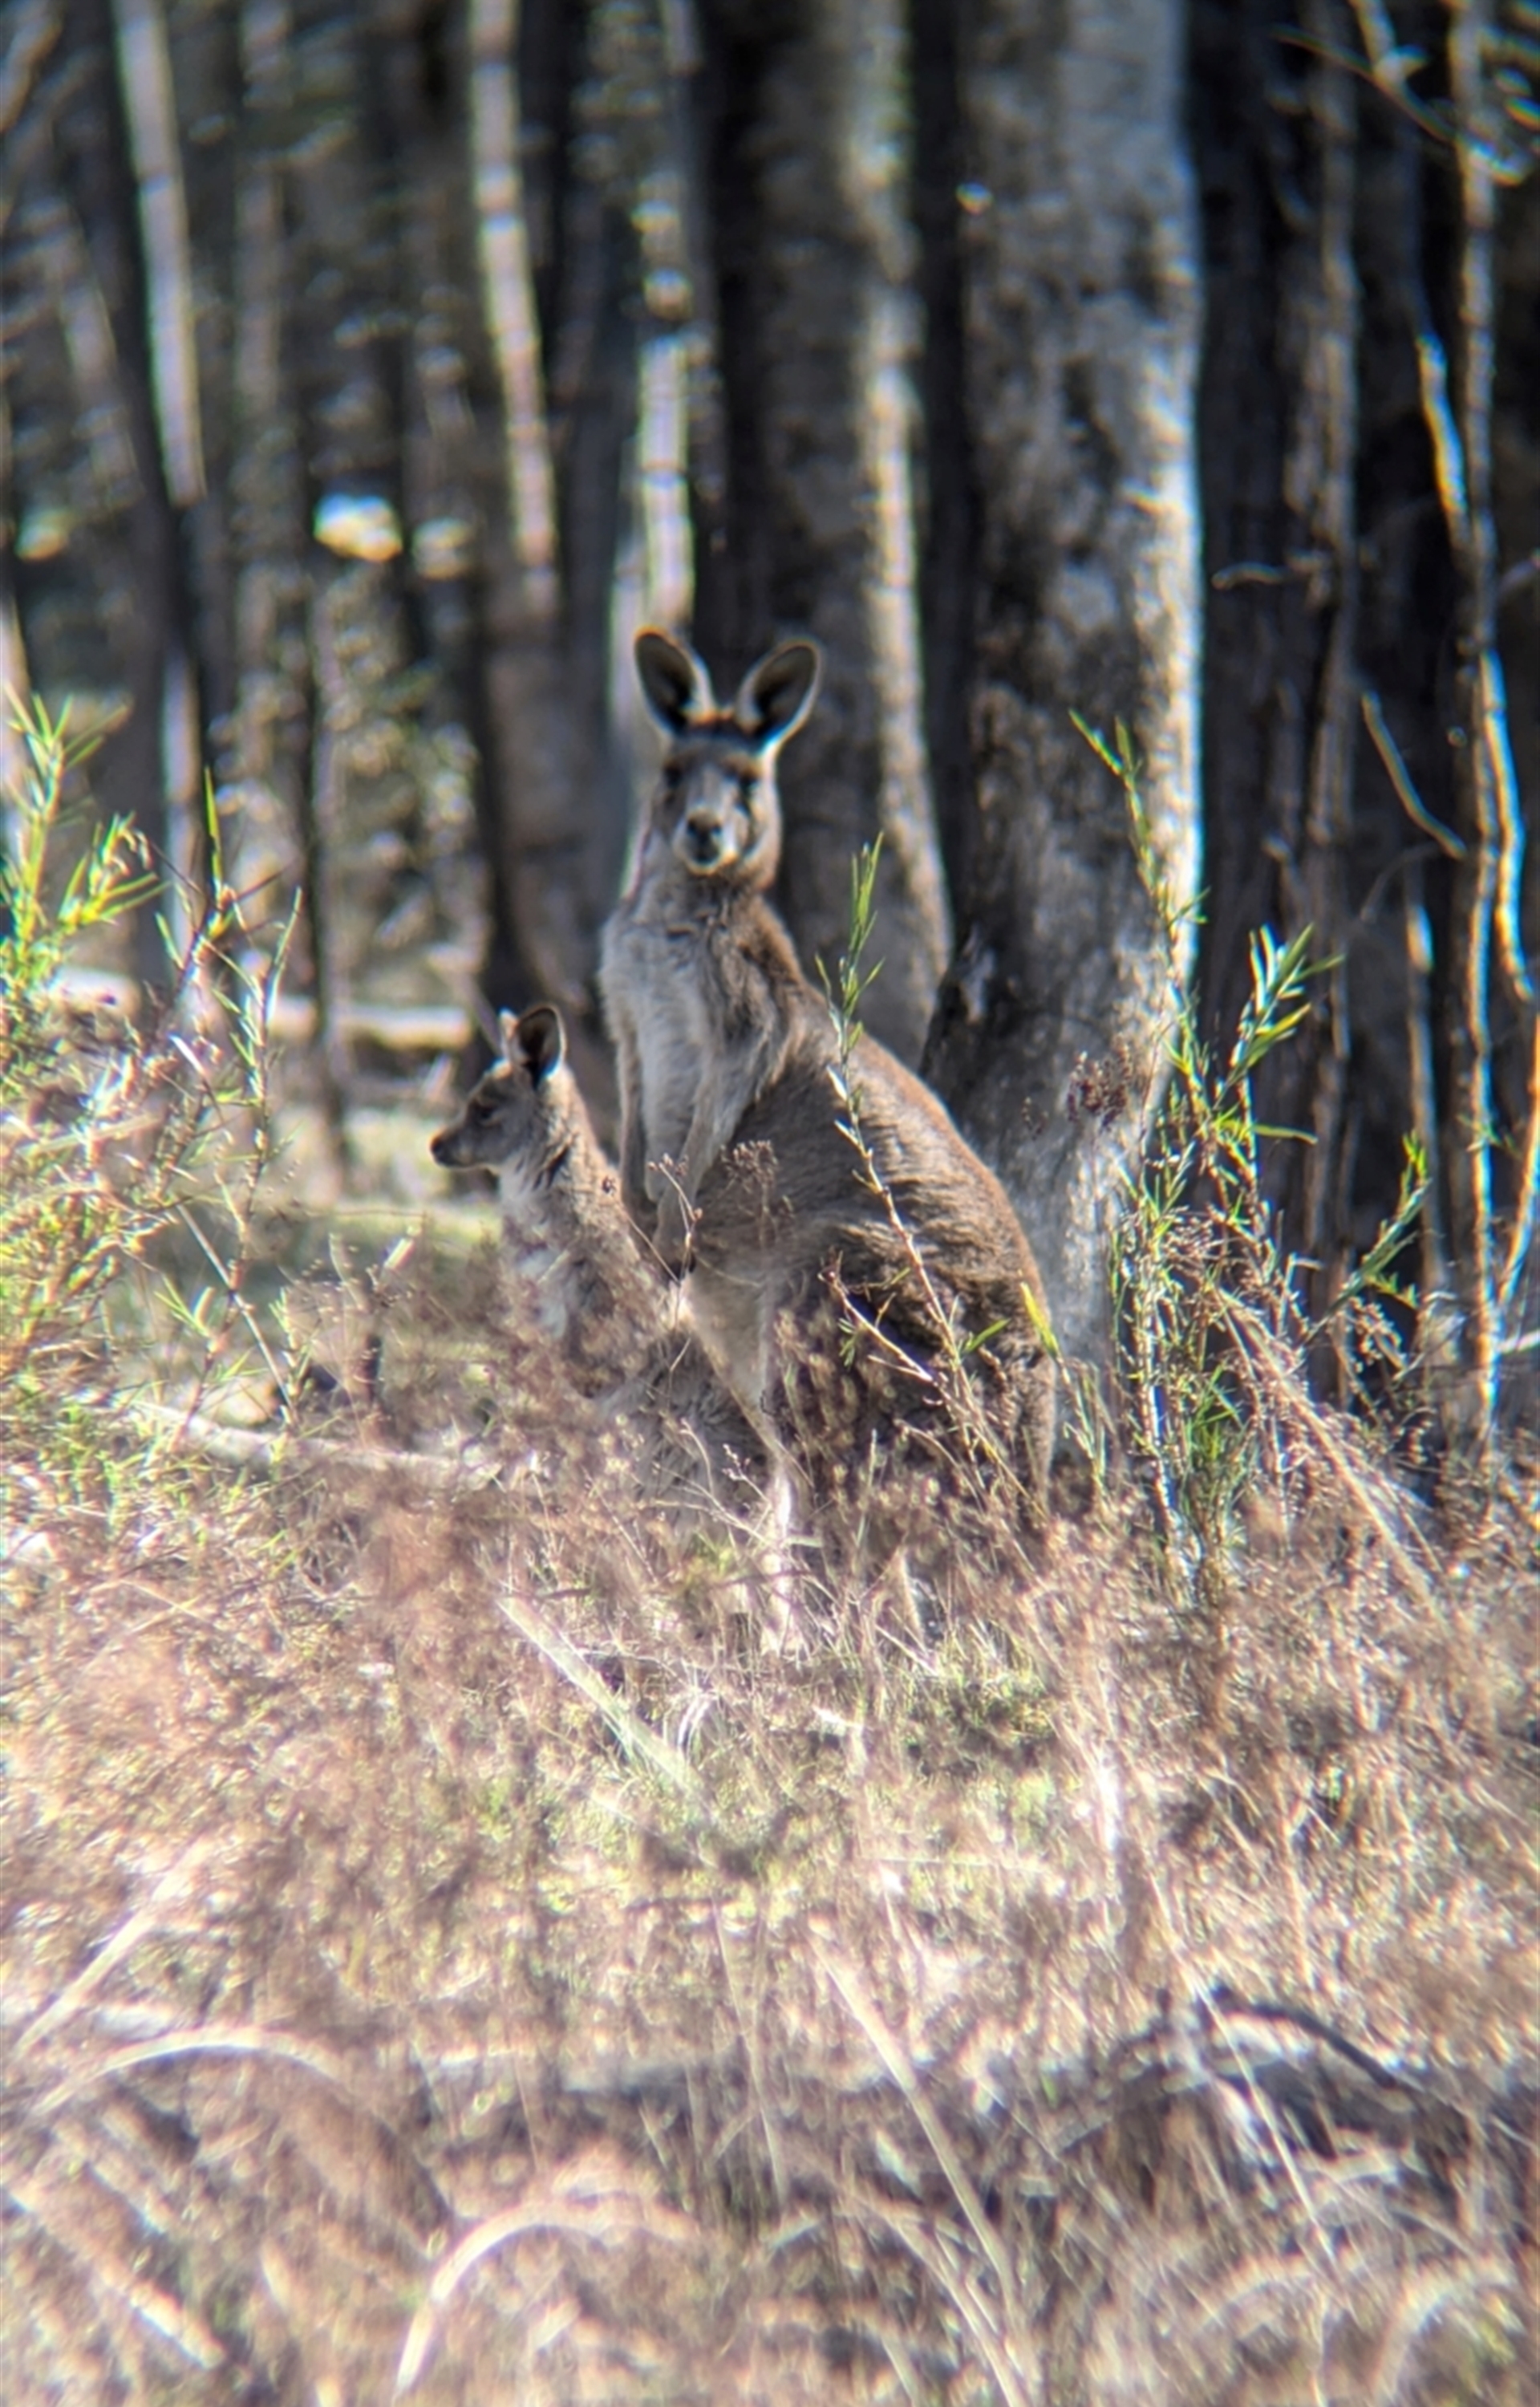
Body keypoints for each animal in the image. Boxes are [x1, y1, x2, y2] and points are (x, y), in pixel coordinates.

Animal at [599, 630, 1056, 1524]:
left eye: (747, 781)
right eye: (673, 772)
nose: (704, 830)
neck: (677, 909)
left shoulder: (744, 1017)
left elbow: (716, 1111)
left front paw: (671, 1230)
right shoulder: (628, 1015)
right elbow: (634, 1111)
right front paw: (644, 1225)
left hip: (829, 1284)